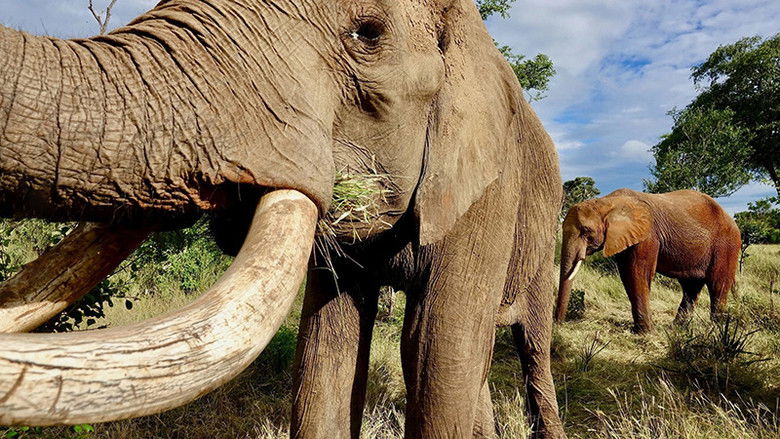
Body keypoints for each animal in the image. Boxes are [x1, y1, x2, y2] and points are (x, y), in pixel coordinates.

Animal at [555, 188, 741, 333]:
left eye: (586, 231)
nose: (558, 324)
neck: (606, 202)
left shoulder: (648, 236)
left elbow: (638, 273)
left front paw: (645, 332)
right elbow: (627, 276)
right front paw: (640, 330)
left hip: (727, 244)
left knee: (717, 284)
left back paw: (716, 330)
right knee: (691, 287)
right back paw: (677, 329)